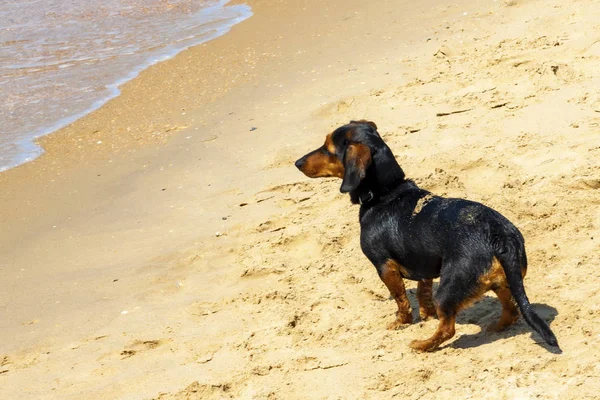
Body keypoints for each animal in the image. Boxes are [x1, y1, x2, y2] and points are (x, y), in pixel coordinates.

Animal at [294, 120, 556, 352]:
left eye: (327, 148)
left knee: (449, 328)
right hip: (502, 282)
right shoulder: (423, 266)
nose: (297, 162)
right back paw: (494, 328)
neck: (386, 192)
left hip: (449, 289)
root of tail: (499, 236)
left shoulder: (384, 267)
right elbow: (422, 293)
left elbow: (401, 300)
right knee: (511, 311)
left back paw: (423, 345)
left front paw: (401, 323)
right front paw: (427, 315)